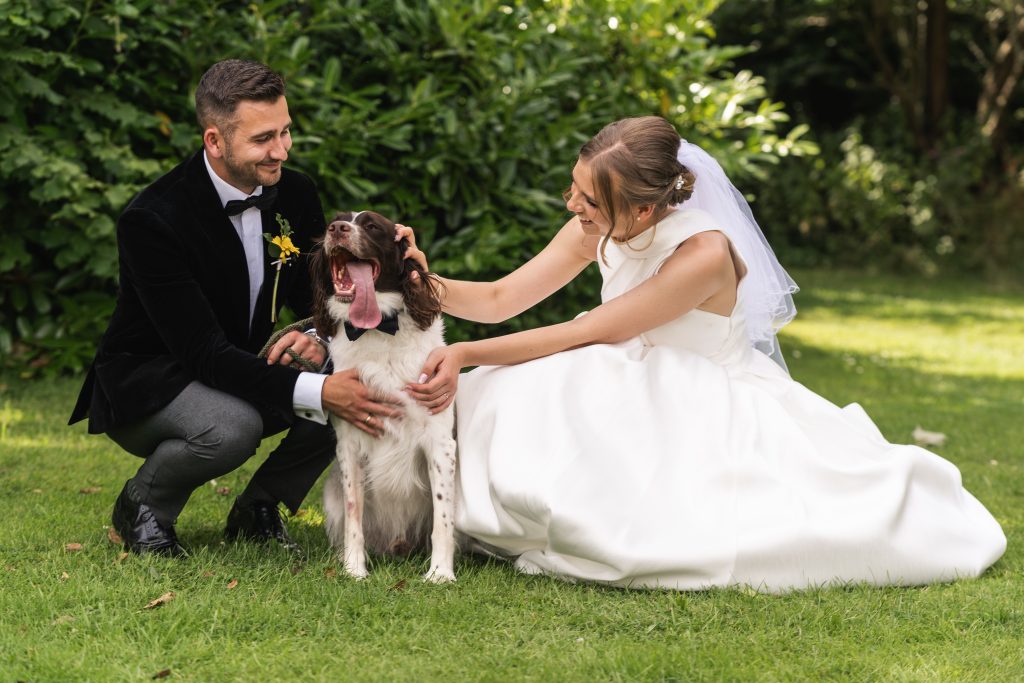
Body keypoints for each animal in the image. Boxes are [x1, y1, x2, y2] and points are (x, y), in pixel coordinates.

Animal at [309, 210, 458, 585]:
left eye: (373, 226)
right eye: (335, 220)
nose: (337, 229)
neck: (378, 330)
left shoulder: (439, 442)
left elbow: (442, 517)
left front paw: (440, 572)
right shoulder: (350, 444)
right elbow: (354, 514)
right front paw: (354, 568)